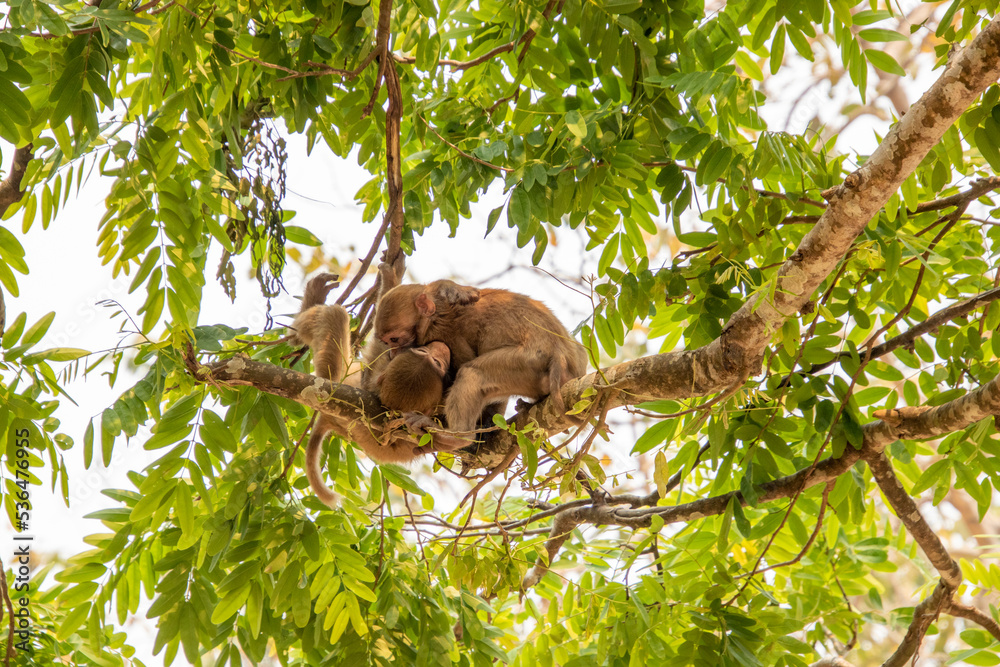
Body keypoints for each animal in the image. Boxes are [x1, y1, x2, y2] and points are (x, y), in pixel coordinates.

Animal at [375, 283, 588, 442]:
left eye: (394, 339)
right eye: (387, 342)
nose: (393, 352)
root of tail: (558, 350)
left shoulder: (447, 336)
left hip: (529, 359)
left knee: (472, 371)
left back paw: (457, 436)